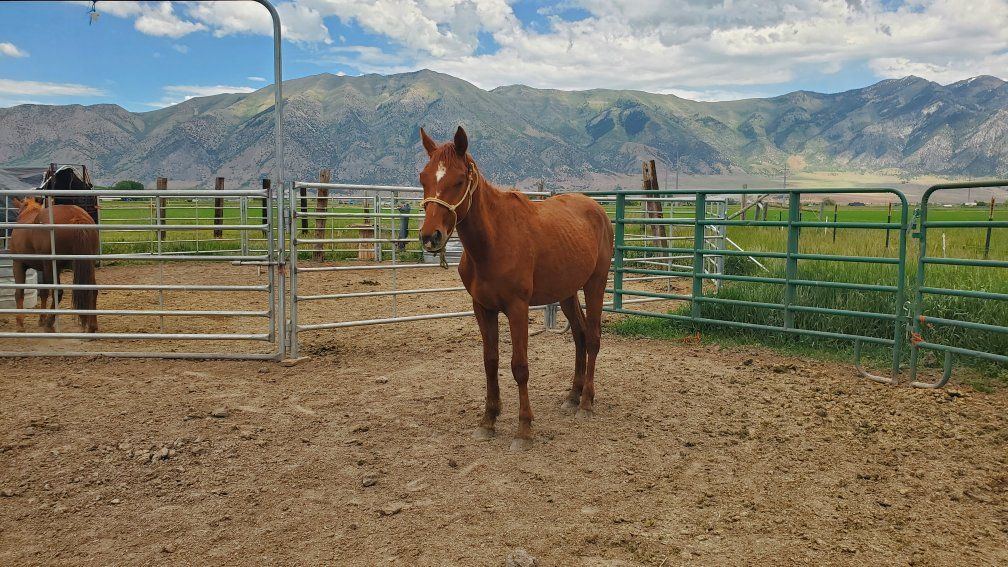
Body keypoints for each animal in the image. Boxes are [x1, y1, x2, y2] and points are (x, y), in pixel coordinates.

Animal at [8, 197, 99, 333]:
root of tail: (76, 215)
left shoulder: (18, 264)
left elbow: (19, 293)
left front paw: (20, 324)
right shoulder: (43, 269)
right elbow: (44, 293)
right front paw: (41, 319)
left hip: (52, 266)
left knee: (58, 293)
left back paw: (50, 324)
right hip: (86, 264)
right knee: (92, 290)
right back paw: (92, 327)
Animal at [418, 126, 614, 450]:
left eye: (458, 180)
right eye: (423, 178)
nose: (430, 236)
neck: (494, 241)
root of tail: (597, 208)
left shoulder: (517, 308)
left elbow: (519, 366)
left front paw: (524, 430)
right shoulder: (483, 308)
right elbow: (490, 361)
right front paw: (488, 421)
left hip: (594, 284)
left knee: (594, 338)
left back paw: (586, 403)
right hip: (567, 292)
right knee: (580, 336)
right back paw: (572, 397)